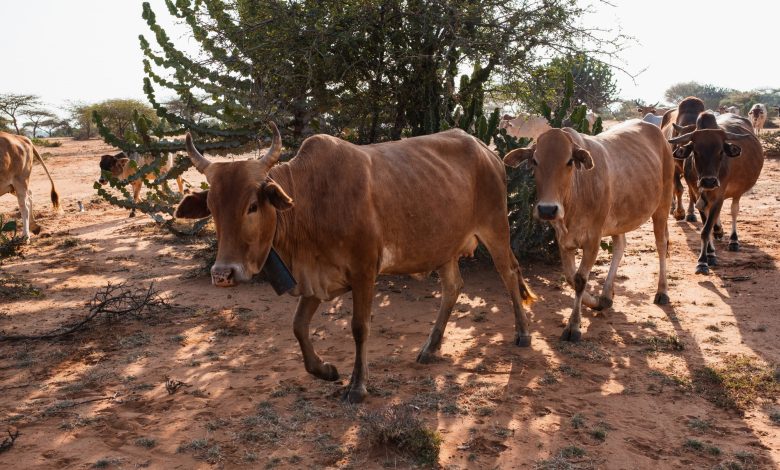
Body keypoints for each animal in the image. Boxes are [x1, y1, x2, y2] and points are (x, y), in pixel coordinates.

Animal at [174, 123, 536, 402]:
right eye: (212, 208)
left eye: (251, 206)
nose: (223, 274)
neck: (310, 201)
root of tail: (487, 152)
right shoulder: (316, 277)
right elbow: (298, 326)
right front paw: (325, 370)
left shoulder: (364, 272)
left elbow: (359, 327)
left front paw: (357, 386)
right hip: (443, 247)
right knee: (453, 288)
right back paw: (430, 348)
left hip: (495, 228)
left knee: (509, 273)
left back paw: (522, 334)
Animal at [502, 119, 672, 342]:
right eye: (535, 161)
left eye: (569, 161)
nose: (547, 209)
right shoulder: (563, 239)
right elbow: (570, 278)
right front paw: (597, 302)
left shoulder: (593, 239)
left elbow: (580, 280)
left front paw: (573, 326)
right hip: (619, 218)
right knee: (620, 246)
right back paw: (606, 295)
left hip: (663, 205)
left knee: (661, 245)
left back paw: (662, 291)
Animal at [668, 112, 764, 274]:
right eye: (696, 151)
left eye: (720, 151)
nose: (709, 182)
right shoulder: (697, 195)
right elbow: (706, 226)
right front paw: (710, 254)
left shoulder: (719, 196)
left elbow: (706, 229)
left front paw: (702, 261)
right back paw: (719, 231)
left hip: (737, 193)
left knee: (734, 211)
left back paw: (733, 240)